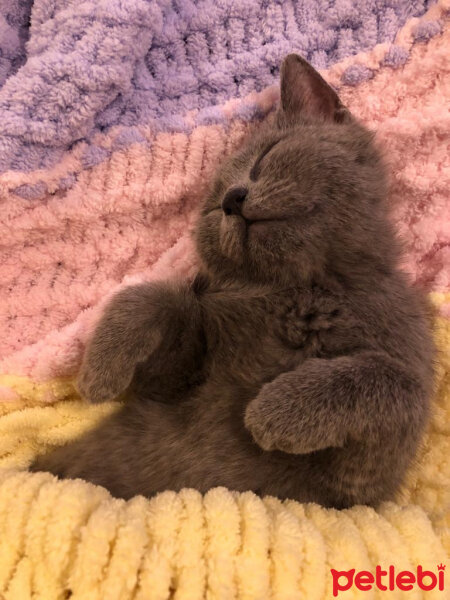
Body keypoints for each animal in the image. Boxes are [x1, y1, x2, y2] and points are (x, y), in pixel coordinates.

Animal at [29, 56, 434, 508]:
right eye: (211, 208)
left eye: (266, 157)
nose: (231, 199)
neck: (303, 293)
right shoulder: (175, 381)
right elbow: (149, 298)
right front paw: (98, 374)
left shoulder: (365, 478)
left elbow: (390, 378)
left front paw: (275, 411)